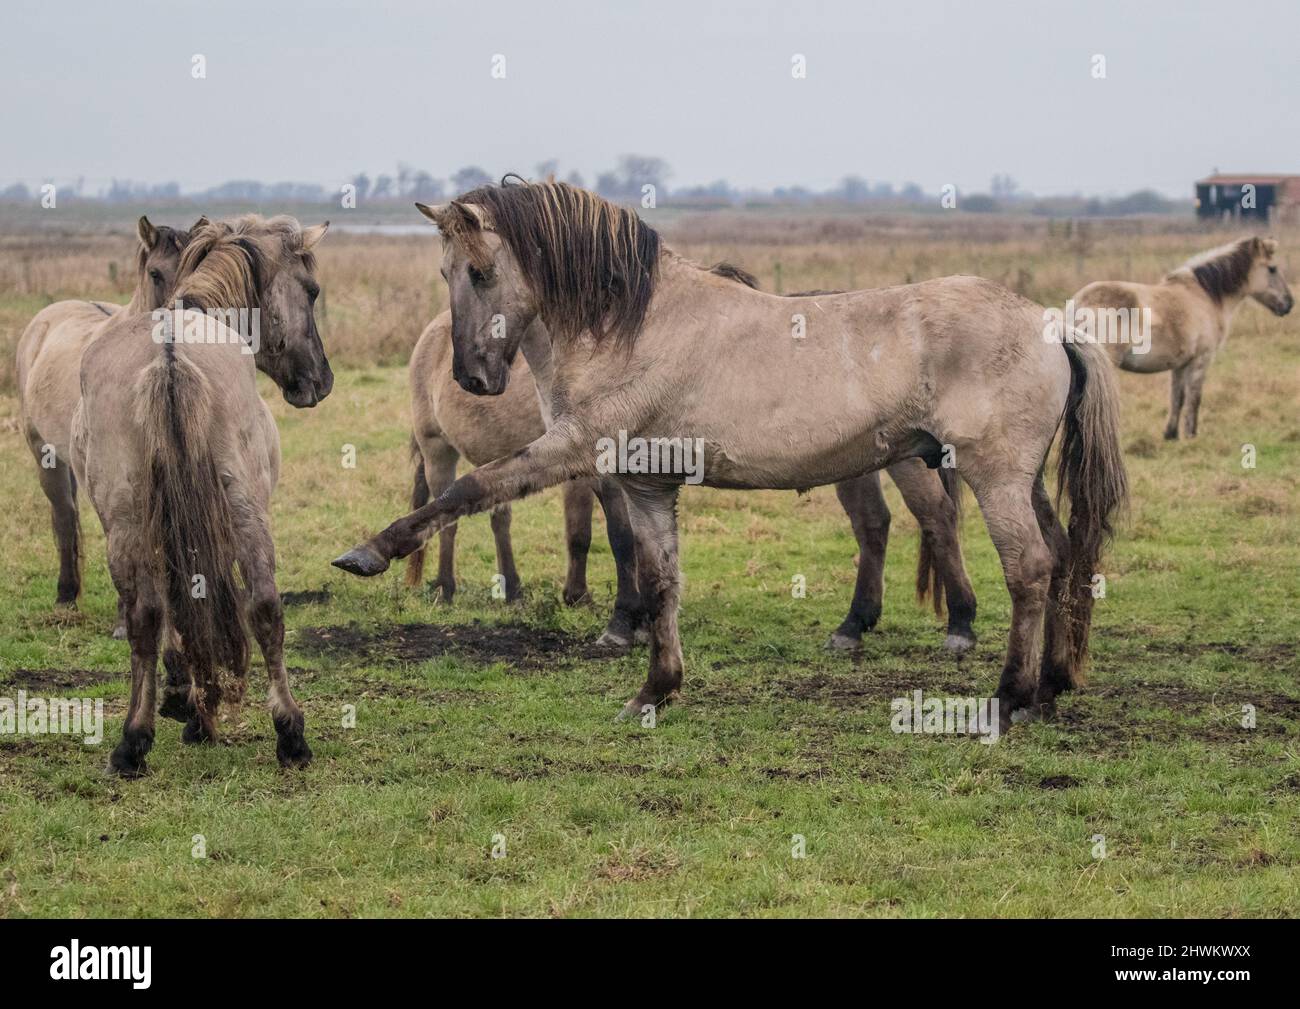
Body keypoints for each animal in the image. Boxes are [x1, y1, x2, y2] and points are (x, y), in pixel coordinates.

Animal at [71, 215, 333, 776]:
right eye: (312, 290)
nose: (320, 381)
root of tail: (169, 355)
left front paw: (184, 701)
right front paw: (193, 706)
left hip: (128, 520)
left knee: (145, 617)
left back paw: (133, 741)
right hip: (245, 510)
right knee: (265, 606)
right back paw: (290, 734)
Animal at [407, 284, 975, 653]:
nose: (474, 374)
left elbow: (606, 537)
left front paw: (620, 619)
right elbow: (615, 537)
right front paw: (628, 615)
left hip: (904, 464)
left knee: (934, 517)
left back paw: (958, 623)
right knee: (874, 524)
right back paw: (855, 625)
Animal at [1072, 236, 1292, 439]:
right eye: (1272, 269)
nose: (1289, 303)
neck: (1205, 296)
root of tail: (1079, 304)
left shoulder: (1180, 364)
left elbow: (1177, 398)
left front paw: (1171, 434)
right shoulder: (1201, 360)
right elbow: (1194, 398)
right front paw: (1191, 435)